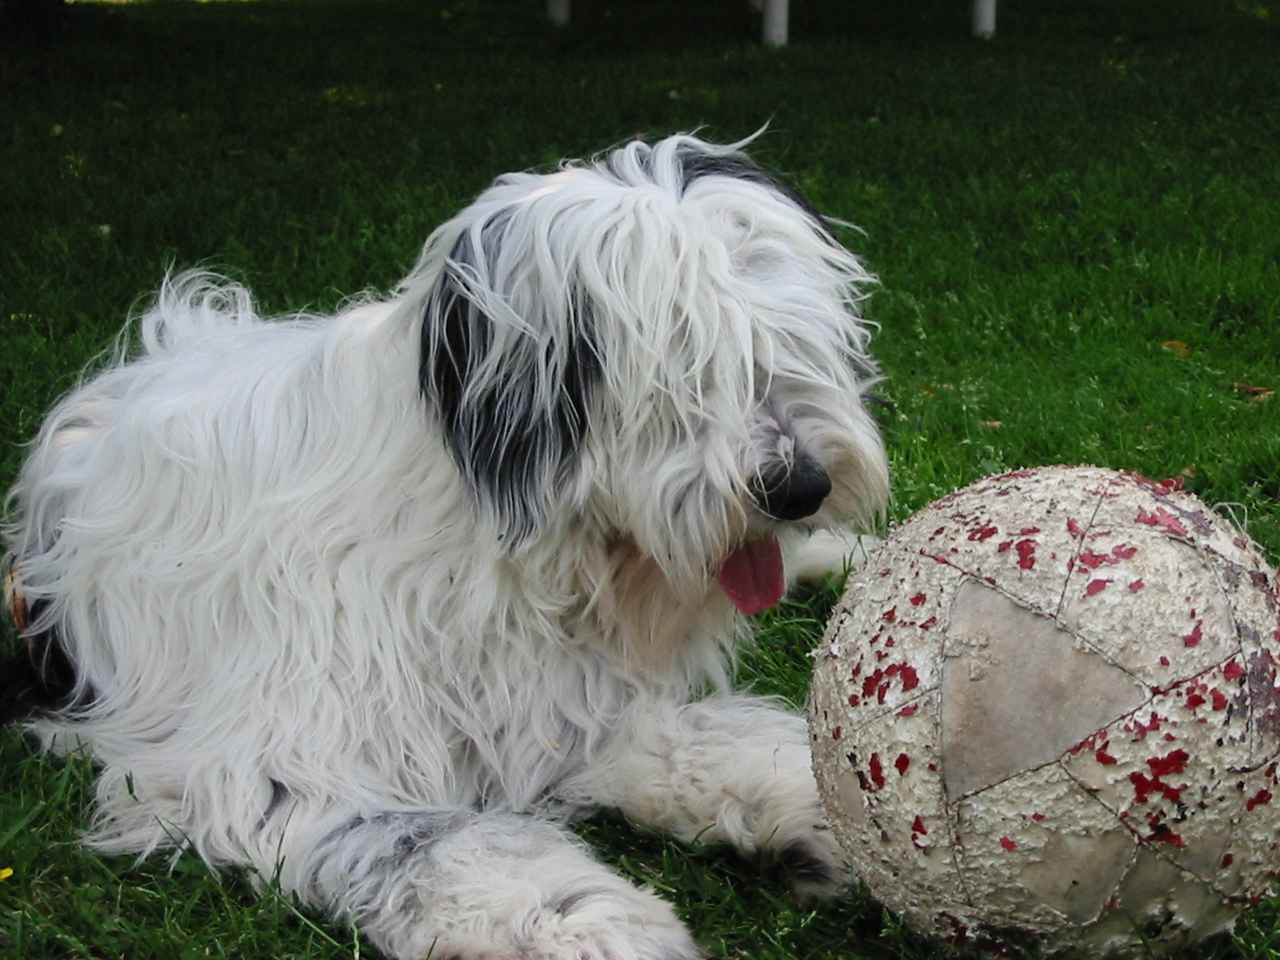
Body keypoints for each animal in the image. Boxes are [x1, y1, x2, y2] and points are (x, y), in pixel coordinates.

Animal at [5, 135, 890, 960]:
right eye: (682, 361)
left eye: (794, 341)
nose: (801, 488)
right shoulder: (276, 766)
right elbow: (446, 844)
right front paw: (579, 922)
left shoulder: (562, 701)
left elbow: (707, 739)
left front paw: (824, 808)